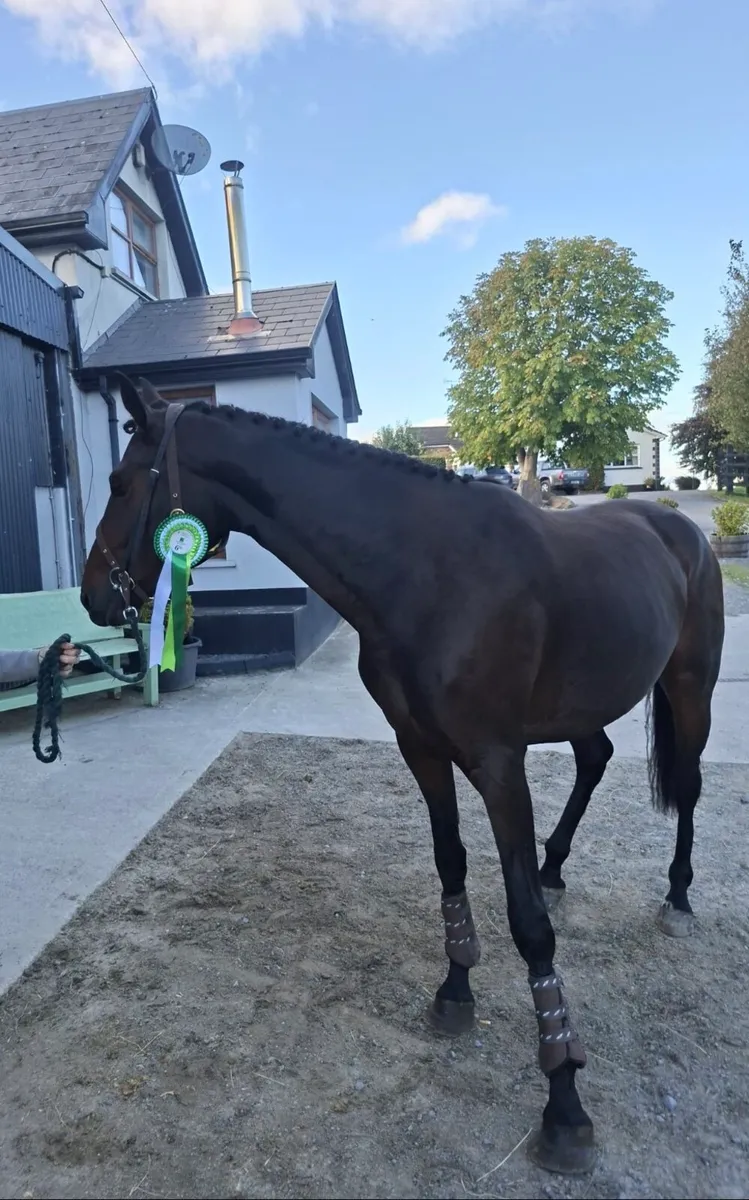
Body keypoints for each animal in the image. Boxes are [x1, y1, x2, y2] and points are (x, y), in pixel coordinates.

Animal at [80, 375, 725, 1175]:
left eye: (120, 483)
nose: (92, 595)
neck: (424, 570)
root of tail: (681, 532)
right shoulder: (420, 748)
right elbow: (450, 866)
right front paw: (455, 990)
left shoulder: (497, 762)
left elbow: (528, 925)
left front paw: (564, 1102)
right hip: (585, 704)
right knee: (595, 759)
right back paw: (556, 865)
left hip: (690, 687)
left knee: (687, 786)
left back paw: (676, 897)